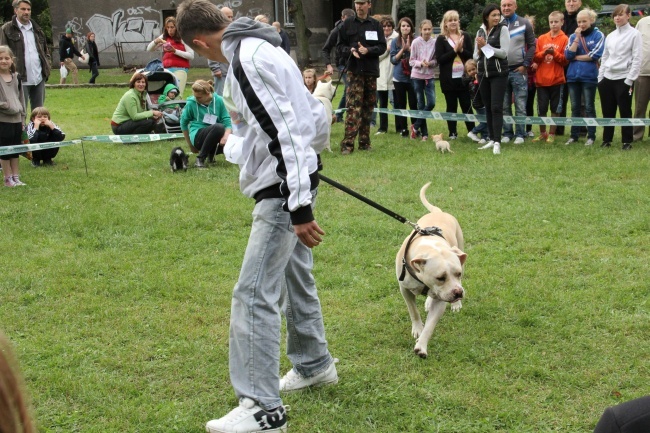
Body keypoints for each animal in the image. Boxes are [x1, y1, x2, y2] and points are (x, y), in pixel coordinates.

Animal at [392, 182, 464, 358]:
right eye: (440, 277)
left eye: (458, 274)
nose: (458, 293)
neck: (430, 247)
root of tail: (439, 212)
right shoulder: (404, 289)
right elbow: (413, 311)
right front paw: (418, 329)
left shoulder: (442, 299)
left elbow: (431, 325)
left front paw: (422, 345)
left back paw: (454, 304)